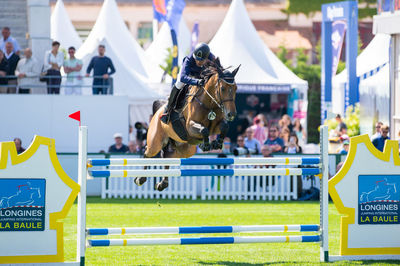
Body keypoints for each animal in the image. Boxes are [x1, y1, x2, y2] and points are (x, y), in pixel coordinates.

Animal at [136, 59, 239, 190]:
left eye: (235, 88)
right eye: (223, 88)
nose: (231, 114)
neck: (209, 104)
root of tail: (158, 110)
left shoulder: (216, 127)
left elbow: (224, 126)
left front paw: (217, 143)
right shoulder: (190, 127)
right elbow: (204, 130)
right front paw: (206, 145)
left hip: (184, 149)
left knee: (168, 156)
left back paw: (162, 183)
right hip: (155, 142)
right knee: (147, 152)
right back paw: (140, 179)